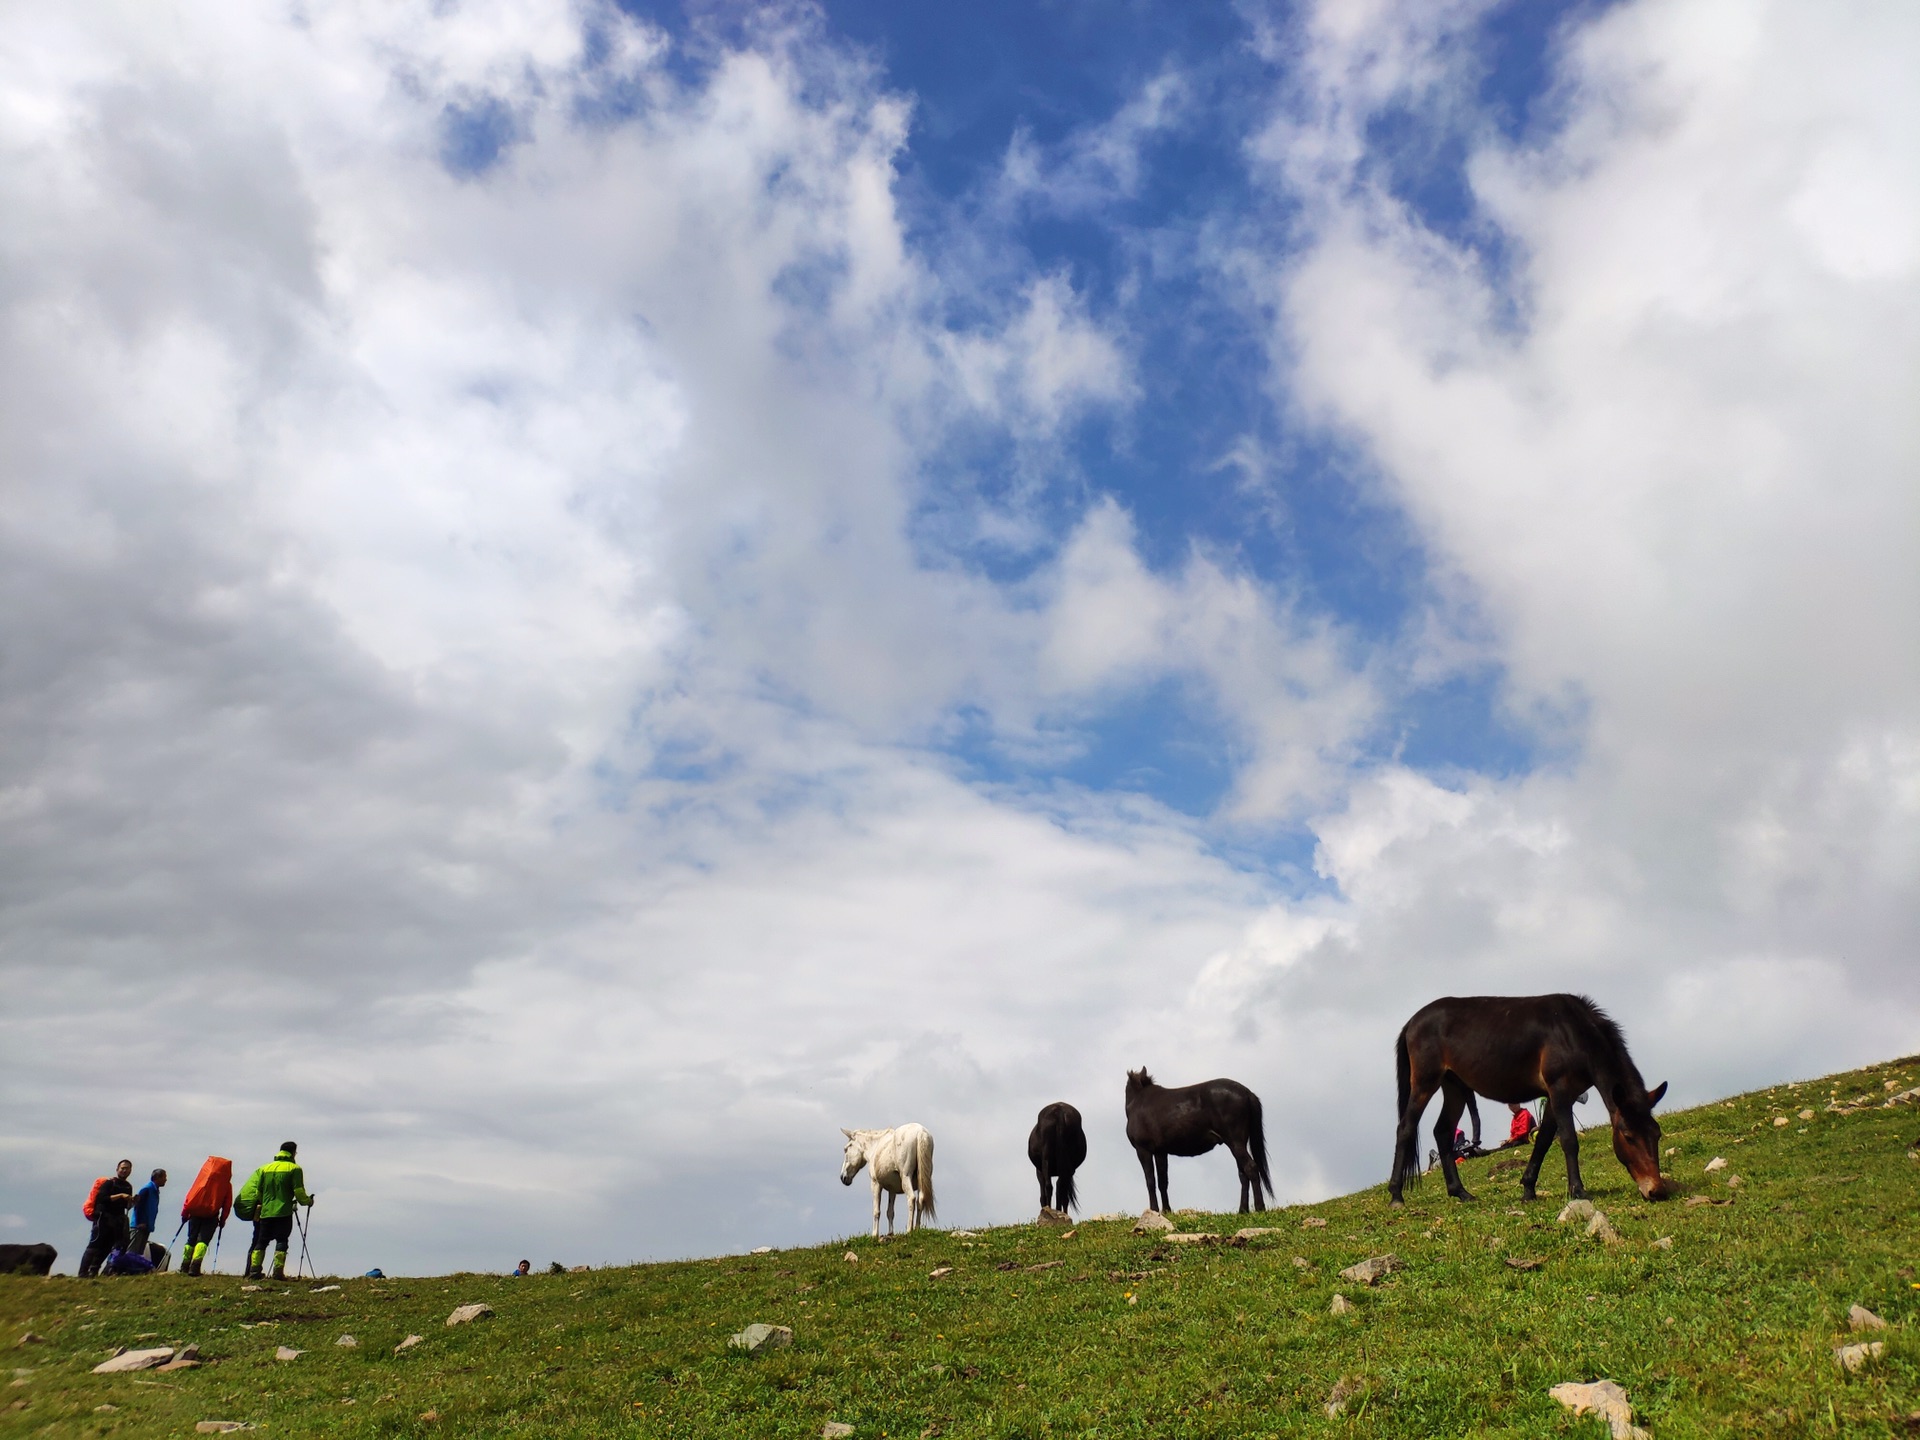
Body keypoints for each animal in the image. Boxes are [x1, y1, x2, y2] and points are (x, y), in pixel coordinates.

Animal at [1124, 1069, 1272, 1214]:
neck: (1137, 1101)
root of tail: (1247, 1092)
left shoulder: (1143, 1149)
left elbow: (1150, 1180)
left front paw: (1154, 1209)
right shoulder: (1161, 1151)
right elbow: (1162, 1181)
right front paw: (1166, 1210)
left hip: (1235, 1142)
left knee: (1251, 1168)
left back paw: (1260, 1207)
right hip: (1239, 1143)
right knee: (1243, 1174)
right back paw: (1243, 1210)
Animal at [1388, 993, 1671, 1206]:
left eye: (1656, 1134)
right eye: (1628, 1136)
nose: (1656, 1190)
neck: (1574, 1032)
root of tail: (1411, 1022)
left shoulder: (1560, 1096)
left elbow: (1544, 1141)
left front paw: (1528, 1189)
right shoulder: (1559, 1090)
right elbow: (1569, 1141)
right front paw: (1578, 1190)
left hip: (1454, 1085)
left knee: (1443, 1131)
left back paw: (1461, 1192)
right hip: (1425, 1082)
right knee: (1405, 1128)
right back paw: (1396, 1195)